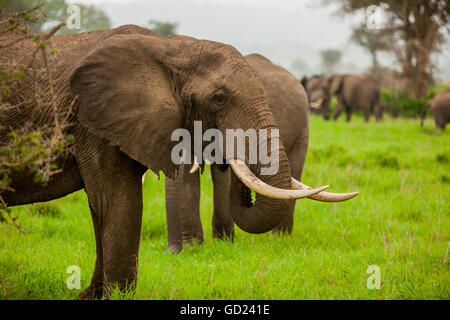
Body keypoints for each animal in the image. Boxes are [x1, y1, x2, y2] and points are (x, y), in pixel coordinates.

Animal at [0, 24, 330, 298]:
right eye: (219, 98)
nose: (171, 252)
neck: (170, 49)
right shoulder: (95, 122)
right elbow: (115, 201)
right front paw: (108, 295)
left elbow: (107, 204)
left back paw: (279, 240)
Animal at [163, 53, 360, 252]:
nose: (171, 251)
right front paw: (193, 246)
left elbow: (222, 177)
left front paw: (223, 242)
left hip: (303, 128)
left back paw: (280, 238)